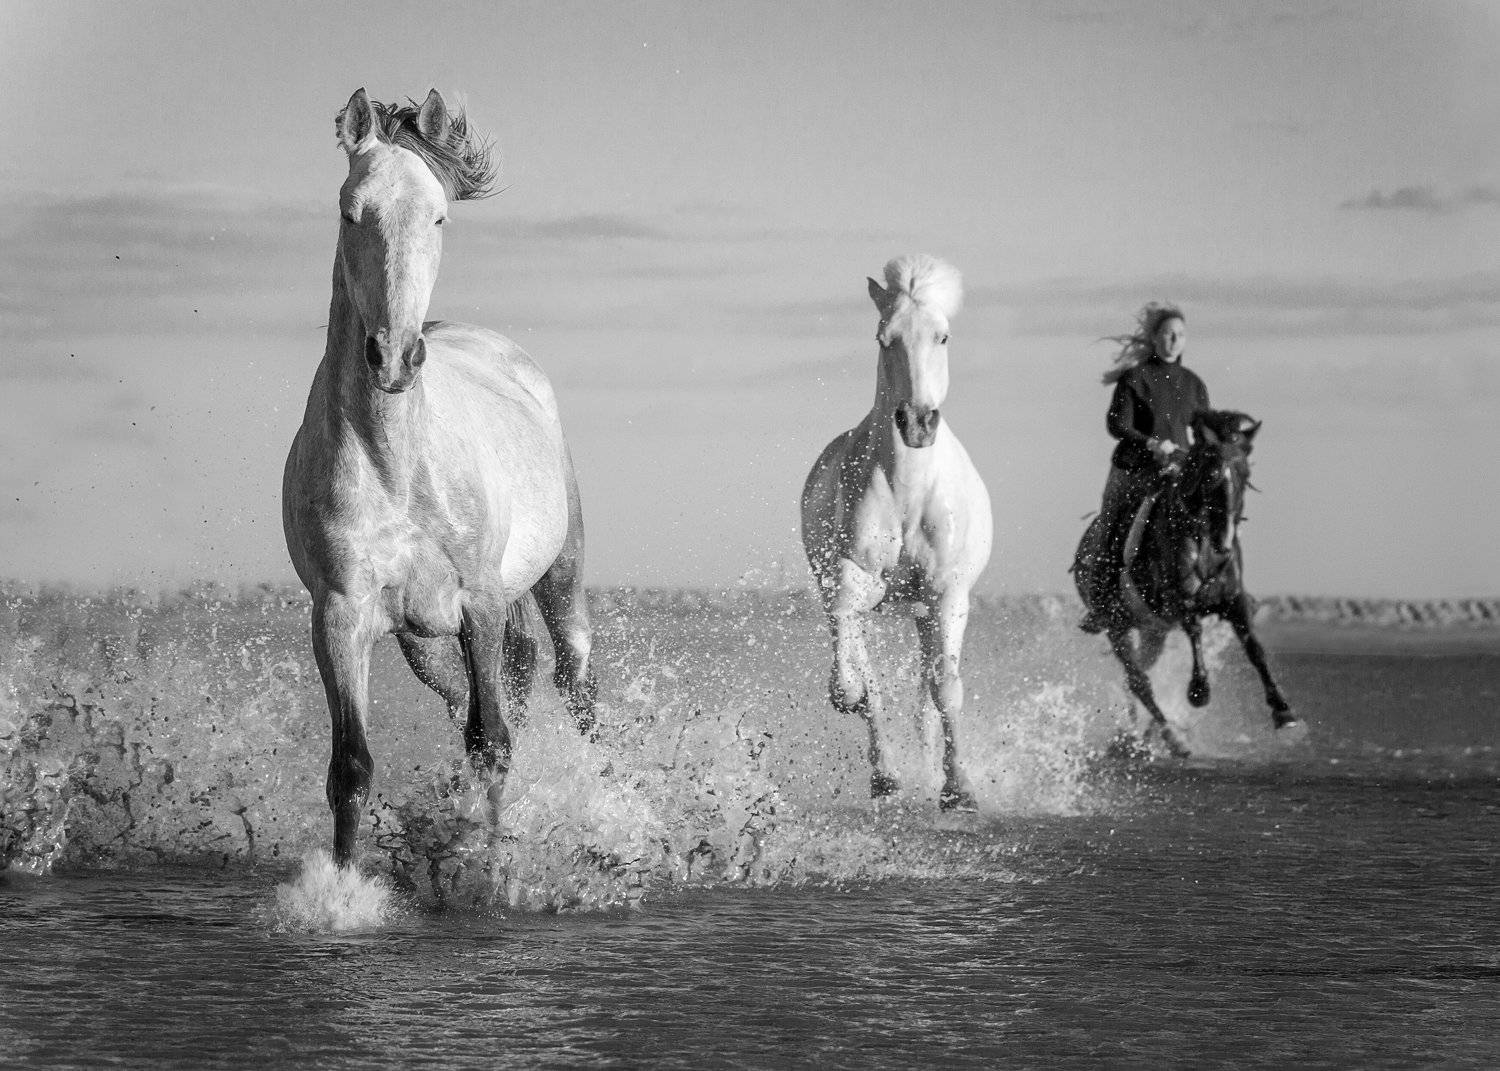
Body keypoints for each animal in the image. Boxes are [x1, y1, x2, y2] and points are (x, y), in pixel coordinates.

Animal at [282, 89, 597, 867]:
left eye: (438, 217)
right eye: (350, 210)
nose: (393, 356)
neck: (398, 467)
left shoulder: (478, 601)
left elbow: (492, 742)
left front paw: (484, 863)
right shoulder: (340, 613)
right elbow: (351, 766)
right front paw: (345, 883)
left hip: (561, 577)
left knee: (574, 685)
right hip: (422, 639)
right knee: (471, 697)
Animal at [800, 256, 993, 811]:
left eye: (943, 337)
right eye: (885, 339)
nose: (917, 423)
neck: (909, 493)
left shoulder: (948, 595)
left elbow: (946, 689)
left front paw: (959, 790)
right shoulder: (852, 579)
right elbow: (855, 682)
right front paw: (851, 695)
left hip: (926, 612)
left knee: (928, 693)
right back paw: (886, 776)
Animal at [1072, 409, 1297, 756]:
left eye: (1245, 473)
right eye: (1211, 475)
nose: (1224, 544)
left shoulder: (1234, 601)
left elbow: (1254, 647)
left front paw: (1283, 711)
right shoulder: (1177, 601)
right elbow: (1194, 627)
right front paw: (1199, 689)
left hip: (1152, 631)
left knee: (1137, 675)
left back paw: (1138, 733)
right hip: (1115, 625)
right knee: (1138, 680)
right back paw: (1170, 737)